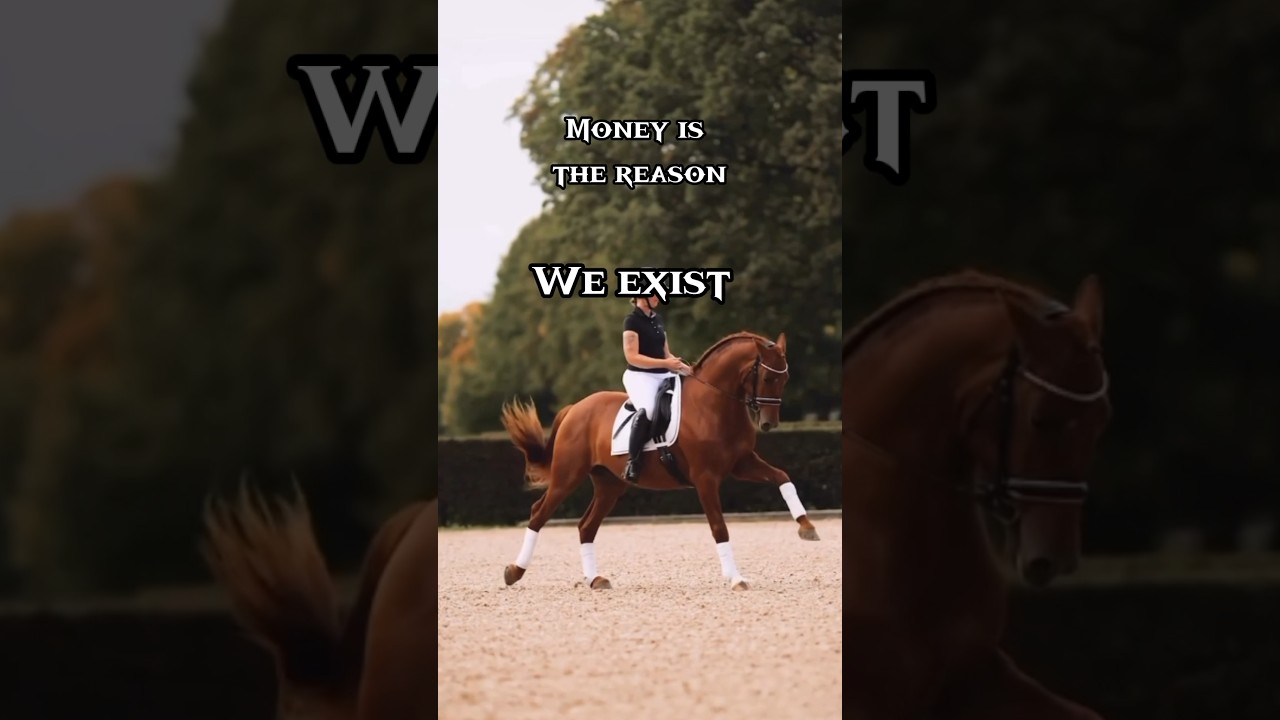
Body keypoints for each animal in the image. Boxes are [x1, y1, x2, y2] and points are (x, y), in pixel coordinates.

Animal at [498, 330, 819, 591]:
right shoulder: (705, 478)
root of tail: (575, 408)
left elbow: (782, 477)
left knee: (586, 526)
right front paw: (736, 578)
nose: (769, 424)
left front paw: (806, 527)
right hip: (568, 476)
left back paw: (595, 579)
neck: (714, 405)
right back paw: (514, 572)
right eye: (767, 378)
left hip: (609, 484)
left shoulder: (742, 464)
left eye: (785, 378)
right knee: (539, 513)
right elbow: (719, 527)